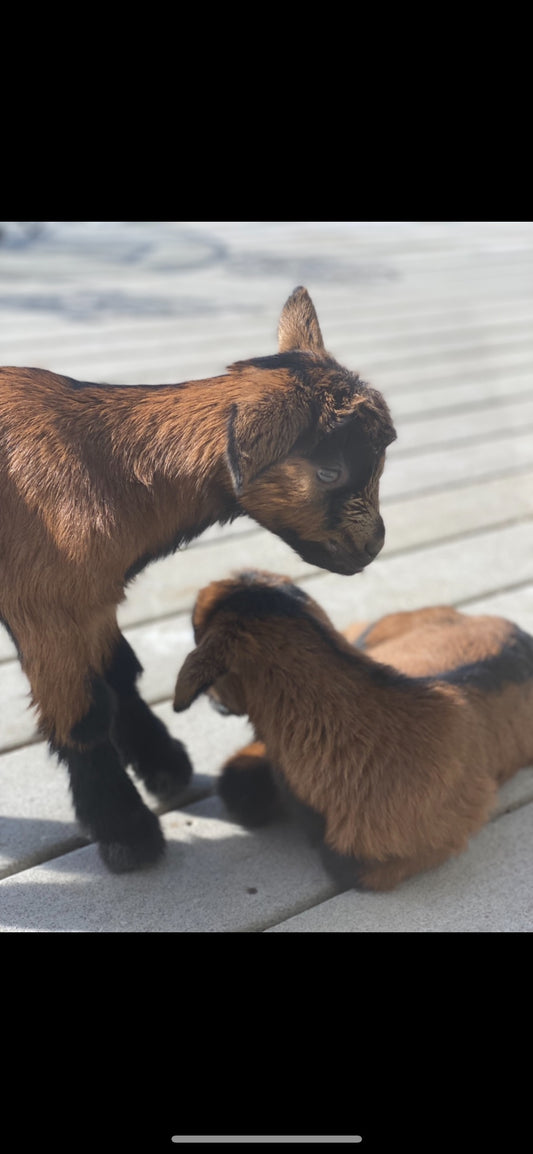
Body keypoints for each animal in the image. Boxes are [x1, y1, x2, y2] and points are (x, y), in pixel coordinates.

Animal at [0, 288, 396, 872]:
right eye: (329, 472)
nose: (373, 546)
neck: (104, 471)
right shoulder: (44, 602)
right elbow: (84, 714)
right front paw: (126, 832)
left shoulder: (92, 596)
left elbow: (120, 672)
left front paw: (163, 764)